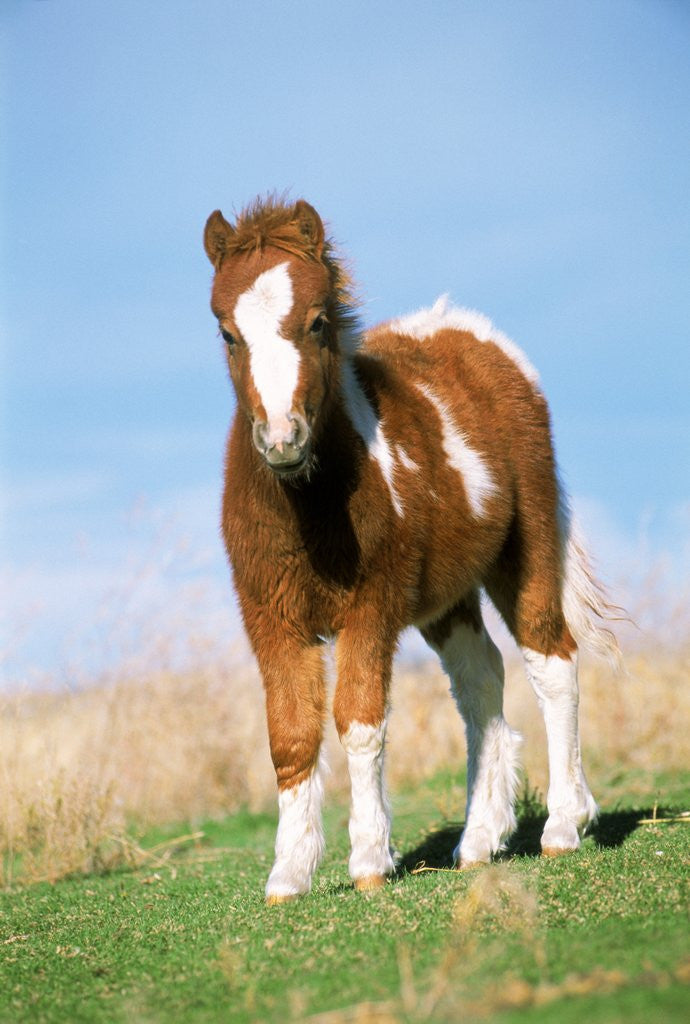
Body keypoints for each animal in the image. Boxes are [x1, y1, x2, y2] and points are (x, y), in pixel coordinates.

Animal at [203, 196, 619, 904]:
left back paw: (565, 825)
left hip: (527, 546)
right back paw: (479, 842)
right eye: (228, 333)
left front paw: (370, 860)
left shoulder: (370, 608)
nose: (283, 439)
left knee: (551, 660)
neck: (310, 506)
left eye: (317, 322)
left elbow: (359, 721)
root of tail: (474, 334)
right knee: (480, 679)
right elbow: (290, 735)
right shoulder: (272, 619)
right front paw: (289, 873)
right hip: (445, 597)